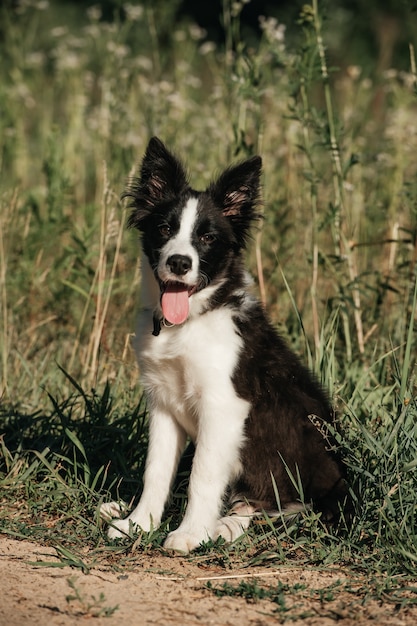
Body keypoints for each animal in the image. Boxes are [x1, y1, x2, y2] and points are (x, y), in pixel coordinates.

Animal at [102, 135, 350, 552]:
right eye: (164, 228)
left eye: (207, 237)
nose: (180, 263)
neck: (190, 322)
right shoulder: (163, 403)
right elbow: (156, 469)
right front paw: (138, 523)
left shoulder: (224, 406)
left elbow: (202, 475)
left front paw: (189, 533)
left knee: (287, 509)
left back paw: (226, 526)